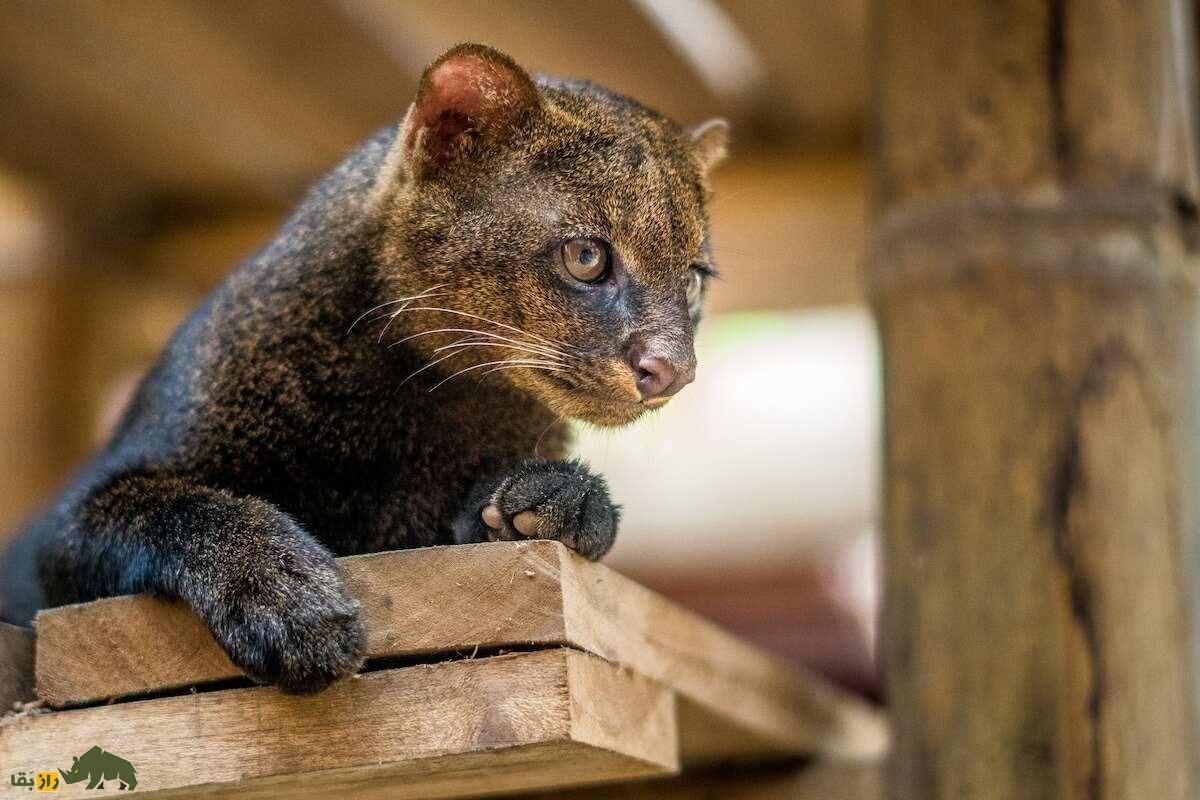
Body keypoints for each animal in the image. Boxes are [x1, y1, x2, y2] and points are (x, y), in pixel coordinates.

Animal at [0, 43, 724, 695]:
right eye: (586, 257)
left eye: (694, 278)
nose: (674, 368)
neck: (425, 402)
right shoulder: (73, 518)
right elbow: (185, 507)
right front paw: (290, 603)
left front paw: (560, 500)